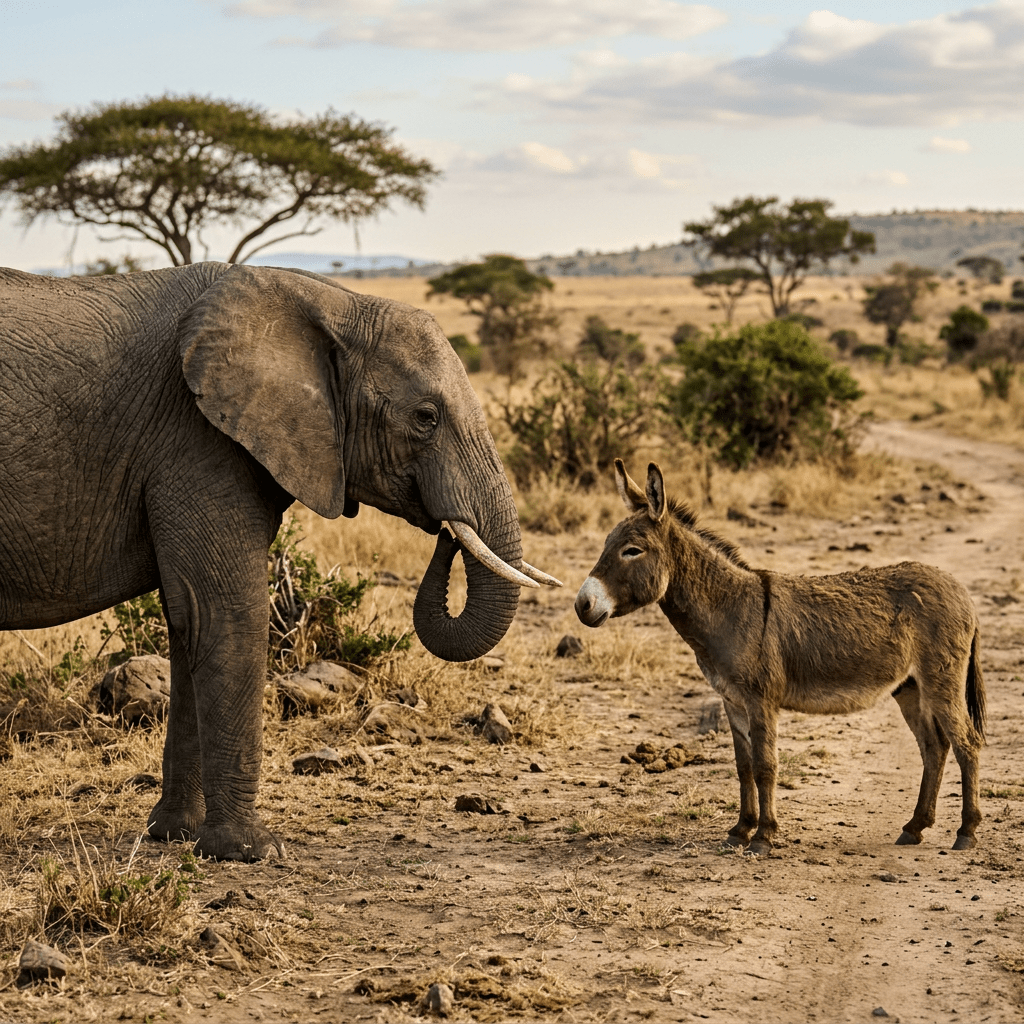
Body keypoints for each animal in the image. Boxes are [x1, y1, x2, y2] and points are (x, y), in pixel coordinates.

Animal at [0, 262, 559, 861]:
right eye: (425, 418)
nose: (448, 532)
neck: (330, 301)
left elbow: (187, 623)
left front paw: (175, 835)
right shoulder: (197, 442)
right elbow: (226, 615)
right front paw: (251, 851)